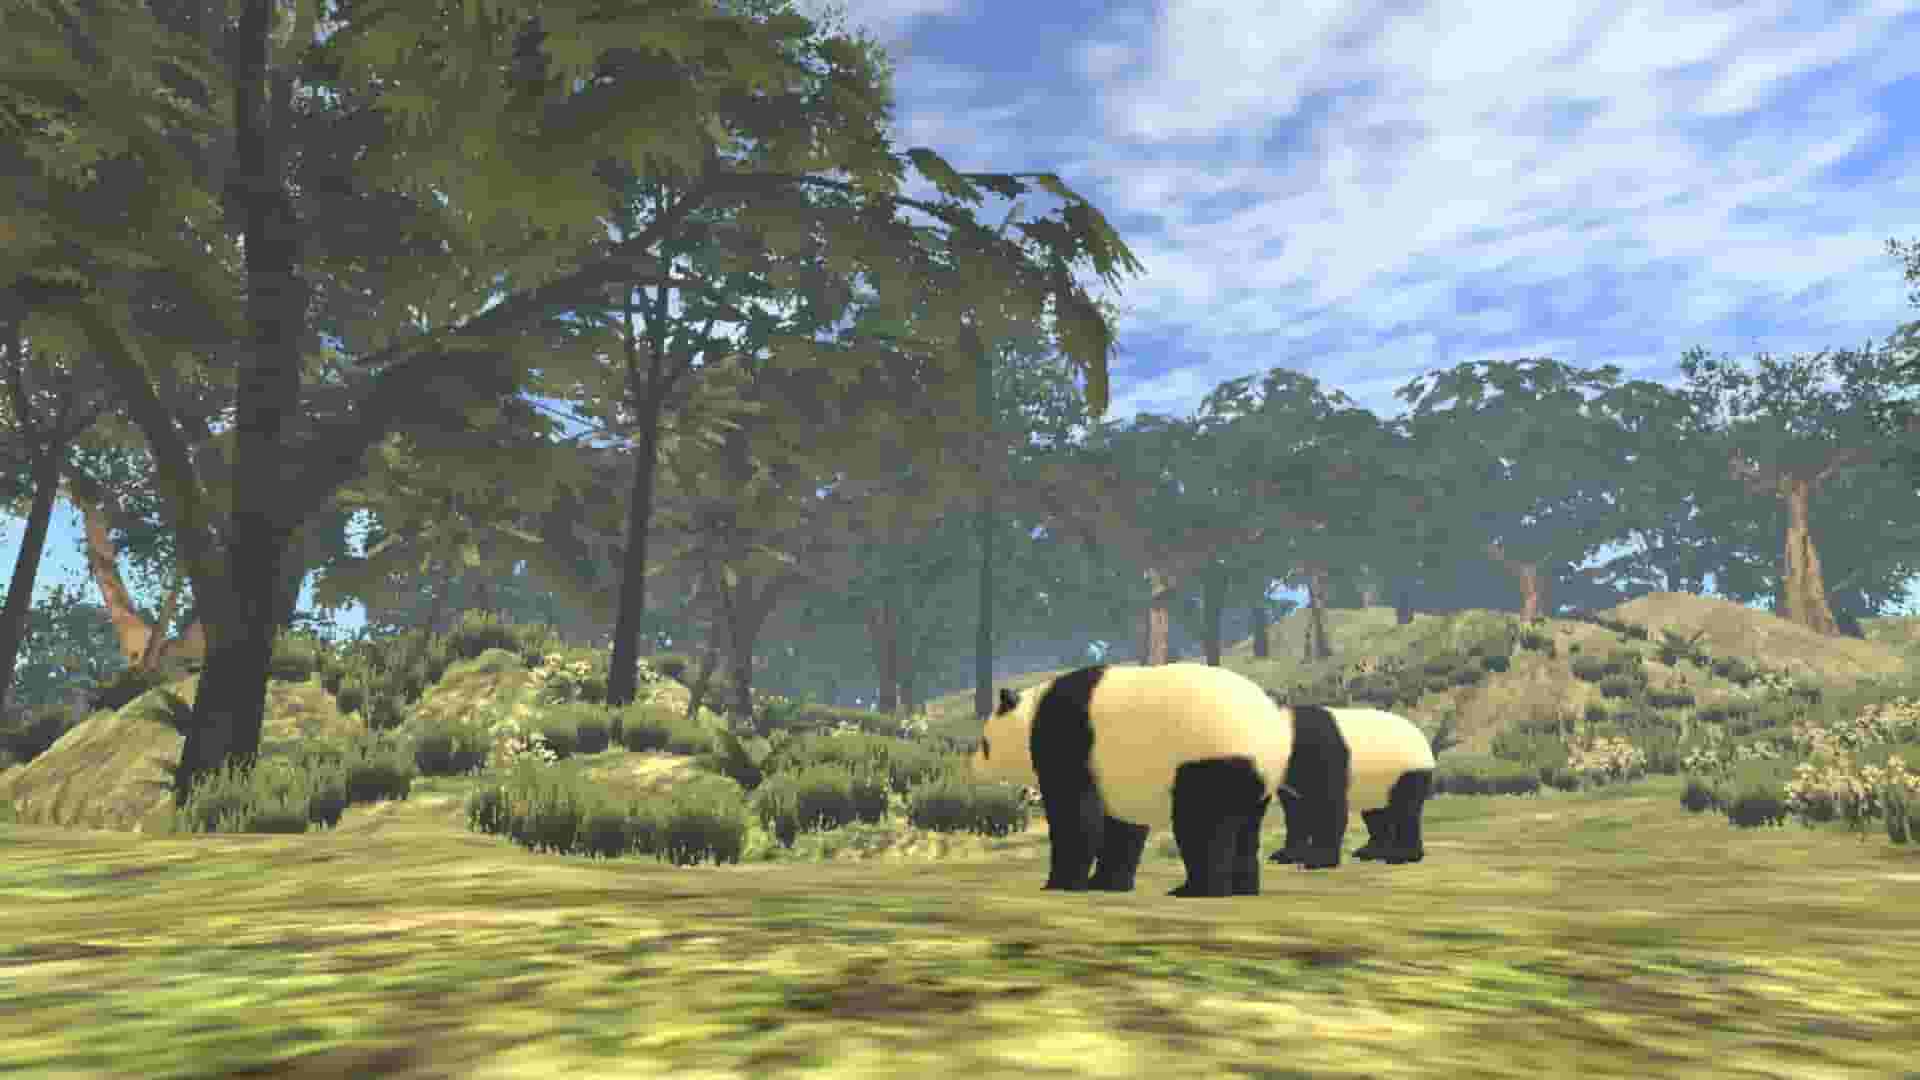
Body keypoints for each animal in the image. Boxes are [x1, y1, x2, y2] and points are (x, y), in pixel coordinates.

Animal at [969, 663, 1295, 898]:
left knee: (1202, 822)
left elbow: (1074, 815)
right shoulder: (1117, 773)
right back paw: (1244, 889)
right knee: (1247, 825)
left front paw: (1059, 883)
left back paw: (1196, 890)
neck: (1033, 712)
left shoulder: (1069, 736)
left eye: (985, 744)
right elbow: (1121, 826)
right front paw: (1106, 883)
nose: (973, 766)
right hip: (1253, 779)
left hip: (1212, 756)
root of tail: (1276, 733)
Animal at [1262, 700, 1436, 869]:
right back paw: (1371, 852)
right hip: (1378, 783)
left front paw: (1319, 860)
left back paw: (1403, 856)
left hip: (1406, 770)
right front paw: (1287, 855)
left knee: (1405, 810)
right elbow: (1296, 812)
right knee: (1376, 813)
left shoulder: (1323, 752)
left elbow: (1329, 806)